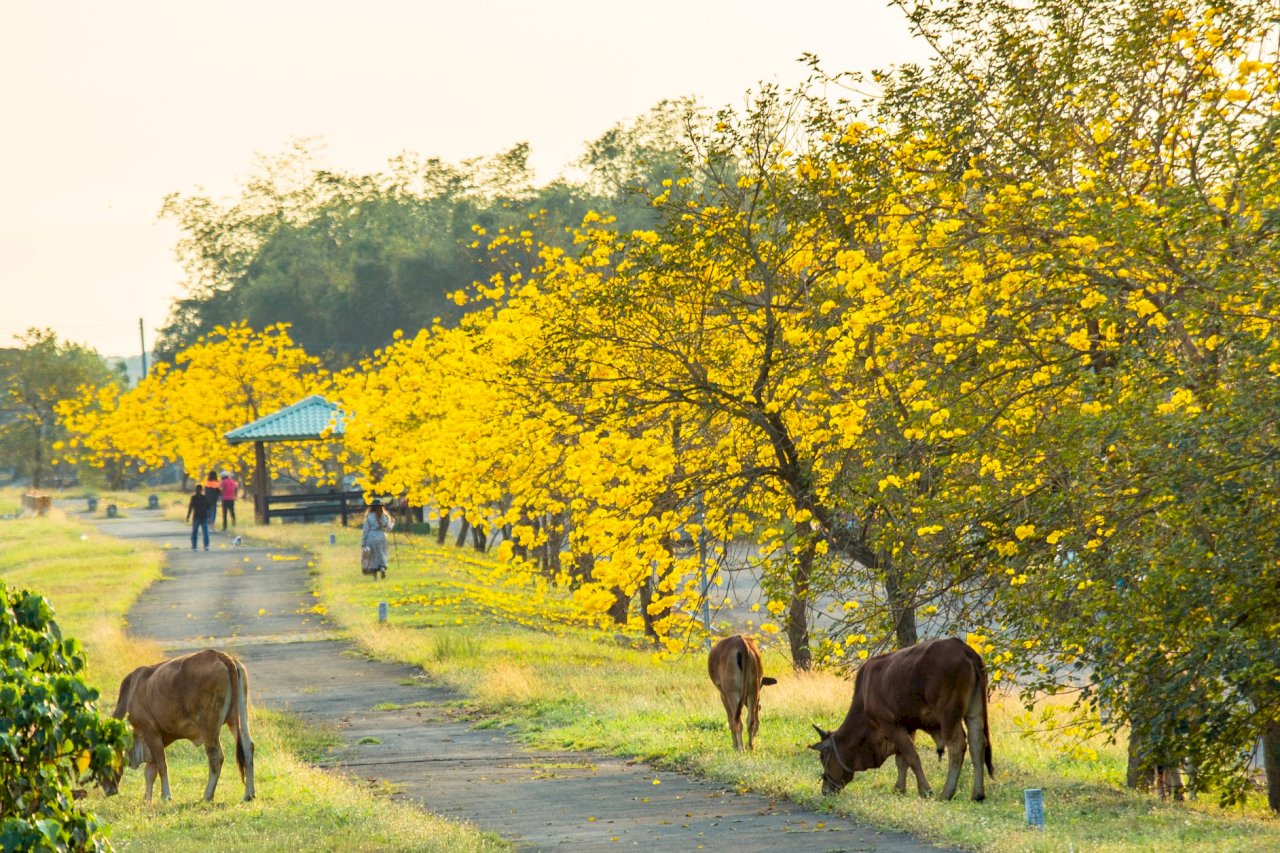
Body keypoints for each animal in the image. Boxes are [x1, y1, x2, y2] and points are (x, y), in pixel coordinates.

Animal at [108, 648, 256, 799]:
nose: (109, 791)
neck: (129, 697)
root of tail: (220, 655)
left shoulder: (150, 733)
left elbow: (161, 766)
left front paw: (166, 796)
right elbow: (150, 772)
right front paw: (147, 799)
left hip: (209, 727)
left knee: (216, 757)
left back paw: (207, 796)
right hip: (238, 718)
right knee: (248, 748)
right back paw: (248, 794)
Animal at [808, 637, 988, 799]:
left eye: (823, 757)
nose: (825, 790)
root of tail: (964, 649)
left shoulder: (889, 724)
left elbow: (912, 757)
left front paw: (925, 790)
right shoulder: (908, 726)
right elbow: (901, 760)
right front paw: (899, 789)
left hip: (948, 716)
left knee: (957, 746)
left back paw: (947, 793)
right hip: (975, 709)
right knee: (977, 743)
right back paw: (977, 794)